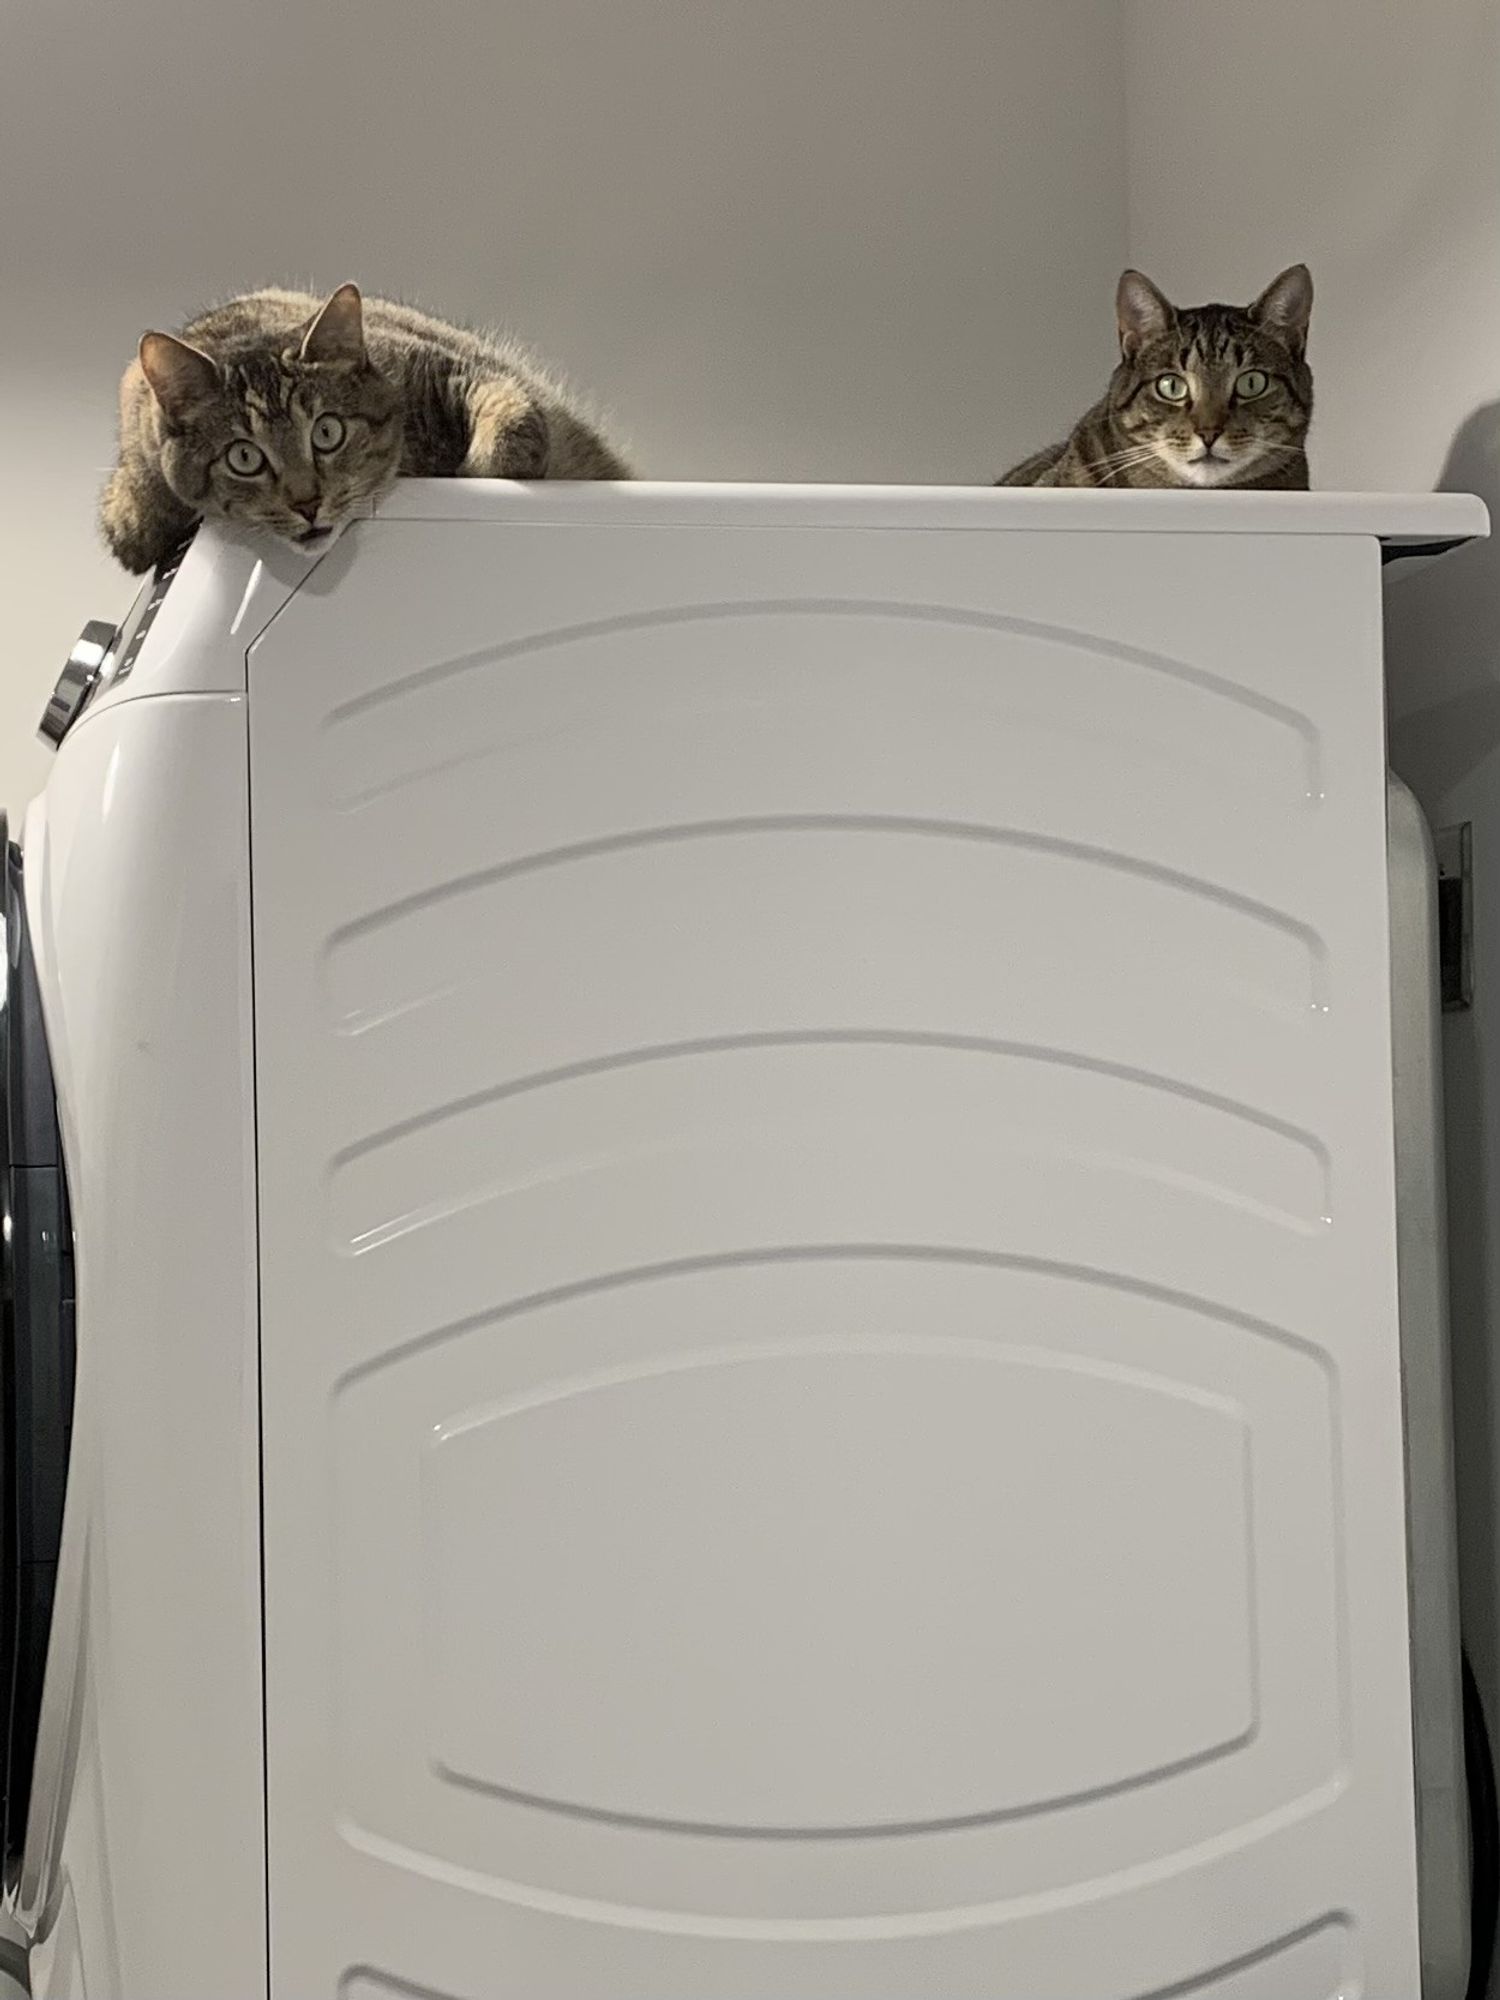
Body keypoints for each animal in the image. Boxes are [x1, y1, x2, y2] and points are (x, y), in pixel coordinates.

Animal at [100, 278, 628, 572]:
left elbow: (515, 427)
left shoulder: (456, 370)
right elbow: (132, 519)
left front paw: (472, 469)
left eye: (326, 432)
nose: (307, 503)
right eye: (244, 456)